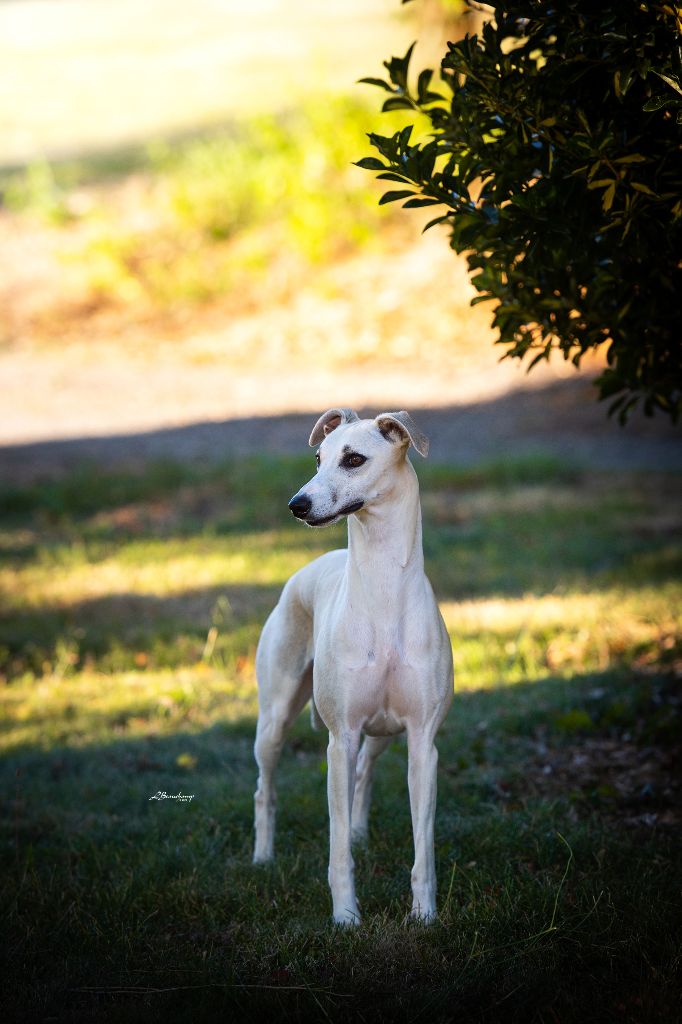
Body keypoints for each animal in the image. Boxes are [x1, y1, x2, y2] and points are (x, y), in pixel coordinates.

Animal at [253, 408, 454, 924]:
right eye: (318, 458)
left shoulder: (422, 743)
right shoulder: (339, 739)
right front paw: (345, 917)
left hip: (383, 733)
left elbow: (424, 848)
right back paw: (262, 857)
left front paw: (425, 916)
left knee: (366, 771)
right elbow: (336, 846)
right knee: (266, 788)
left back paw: (363, 834)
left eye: (354, 459)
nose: (297, 504)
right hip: (275, 719)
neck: (383, 590)